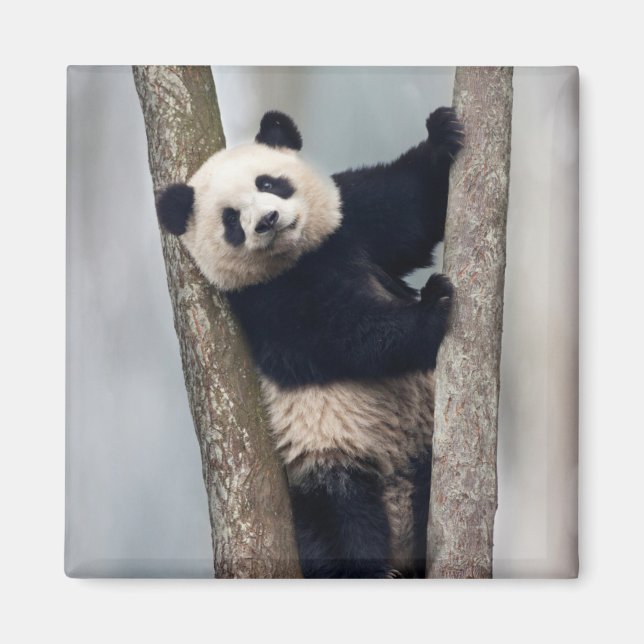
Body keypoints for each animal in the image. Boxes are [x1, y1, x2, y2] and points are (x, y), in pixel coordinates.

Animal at [156, 107, 463, 578]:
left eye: (268, 183)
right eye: (231, 219)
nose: (266, 221)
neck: (299, 257)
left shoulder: (350, 222)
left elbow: (408, 208)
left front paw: (443, 135)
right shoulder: (266, 304)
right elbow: (343, 336)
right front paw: (433, 307)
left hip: (422, 441)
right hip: (326, 459)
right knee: (340, 519)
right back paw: (369, 569)